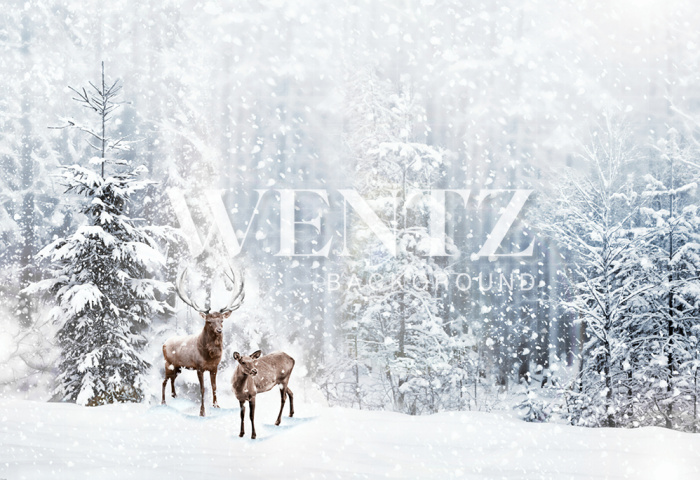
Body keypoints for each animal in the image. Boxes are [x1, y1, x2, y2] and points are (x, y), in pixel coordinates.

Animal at [163, 266, 245, 416]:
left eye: (221, 320)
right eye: (209, 321)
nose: (219, 330)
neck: (209, 355)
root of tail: (164, 343)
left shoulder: (215, 367)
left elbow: (214, 386)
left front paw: (217, 406)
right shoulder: (199, 367)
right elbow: (202, 389)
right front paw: (202, 412)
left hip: (178, 367)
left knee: (172, 379)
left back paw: (174, 396)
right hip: (168, 363)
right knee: (164, 381)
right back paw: (163, 402)